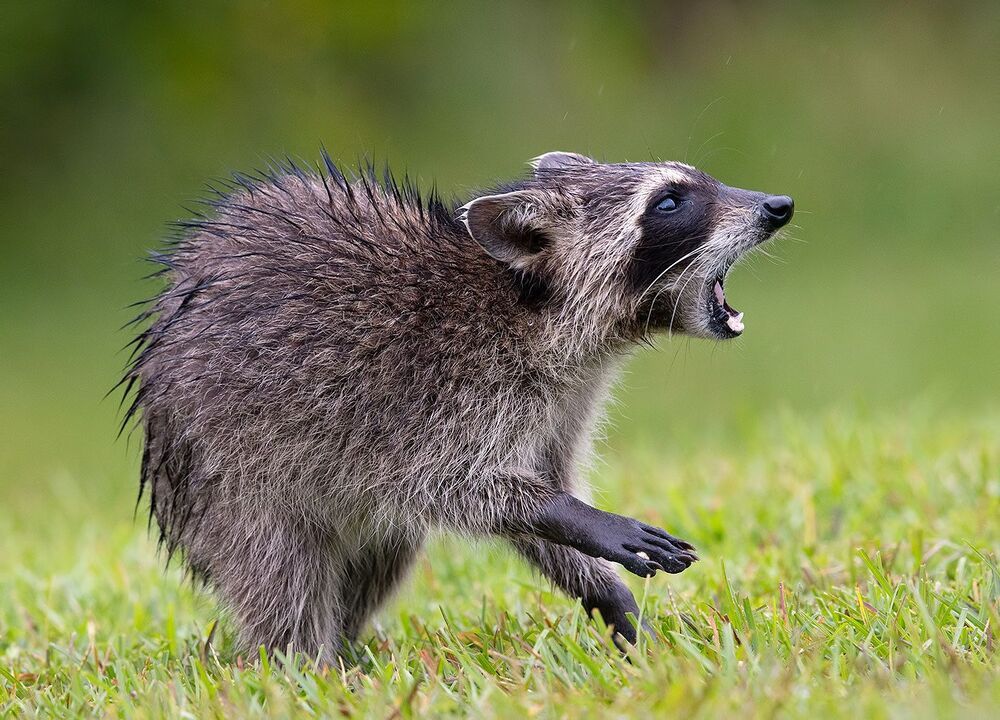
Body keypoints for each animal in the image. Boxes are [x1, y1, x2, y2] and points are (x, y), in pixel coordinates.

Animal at [122, 150, 792, 660]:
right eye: (670, 202)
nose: (777, 206)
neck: (538, 309)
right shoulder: (432, 391)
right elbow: (449, 484)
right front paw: (576, 517)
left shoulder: (563, 404)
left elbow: (530, 486)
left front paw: (606, 594)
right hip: (229, 478)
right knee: (281, 574)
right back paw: (304, 663)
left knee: (380, 556)